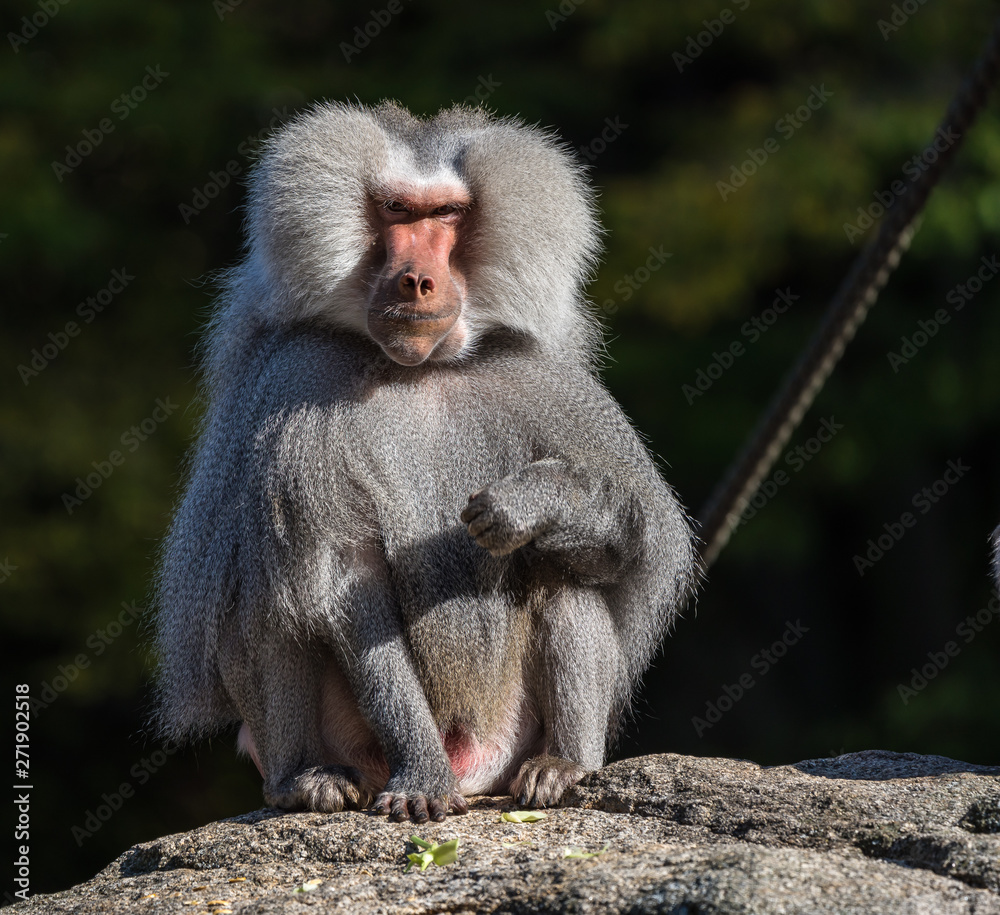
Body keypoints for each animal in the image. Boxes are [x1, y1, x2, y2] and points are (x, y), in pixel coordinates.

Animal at [154, 101, 696, 824]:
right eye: (395, 210)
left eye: (446, 213)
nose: (416, 280)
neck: (422, 370)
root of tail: (477, 766)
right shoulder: (295, 382)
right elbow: (344, 581)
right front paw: (421, 780)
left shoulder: (549, 384)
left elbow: (625, 549)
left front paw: (542, 501)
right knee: (273, 591)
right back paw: (307, 780)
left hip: (509, 739)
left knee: (561, 568)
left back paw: (563, 767)